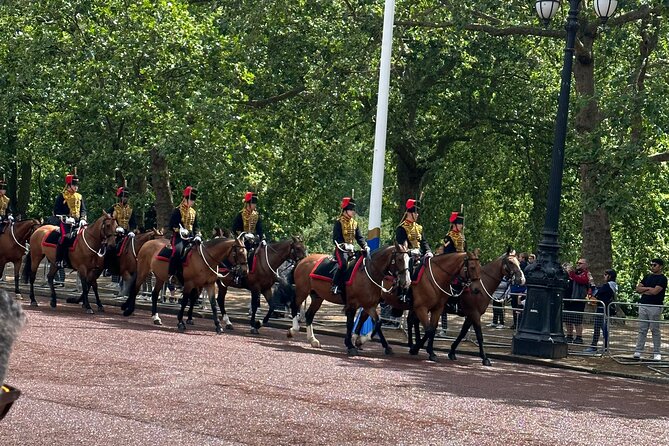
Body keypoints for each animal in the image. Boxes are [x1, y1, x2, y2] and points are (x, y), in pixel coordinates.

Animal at [120, 235, 248, 332]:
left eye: (247, 252)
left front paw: (218, 325)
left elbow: (213, 304)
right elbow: (185, 301)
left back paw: (155, 317)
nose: (245, 271)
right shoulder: (189, 284)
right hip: (143, 271)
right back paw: (129, 310)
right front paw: (181, 322)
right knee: (136, 289)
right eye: (240, 252)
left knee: (155, 294)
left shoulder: (209, 285)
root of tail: (148, 243)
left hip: (160, 277)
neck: (207, 259)